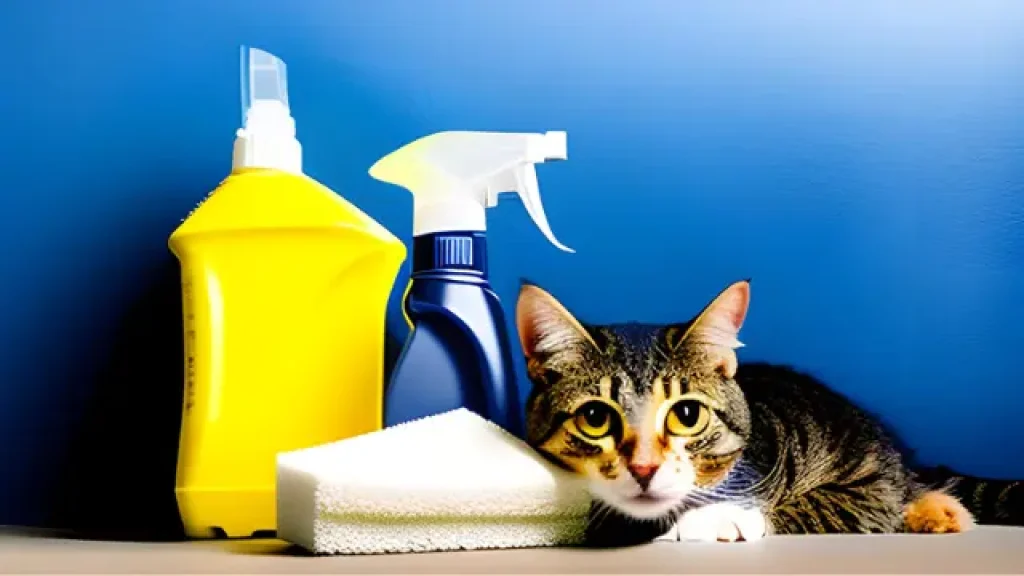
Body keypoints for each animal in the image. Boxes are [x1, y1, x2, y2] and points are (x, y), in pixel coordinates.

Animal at [520, 278, 1024, 541]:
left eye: (687, 415)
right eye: (596, 418)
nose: (644, 468)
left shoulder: (865, 487)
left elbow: (816, 504)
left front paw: (724, 516)